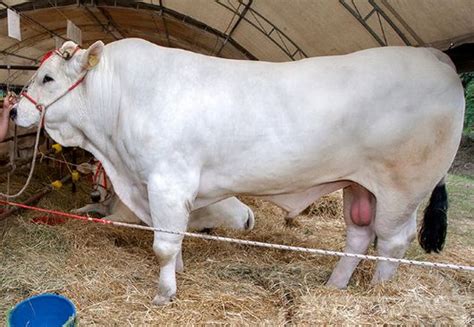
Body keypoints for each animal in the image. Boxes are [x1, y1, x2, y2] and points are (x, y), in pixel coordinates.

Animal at [12, 39, 464, 306]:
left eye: (47, 77)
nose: (15, 110)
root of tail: (436, 56)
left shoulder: (167, 181)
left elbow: (163, 244)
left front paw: (164, 294)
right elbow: (174, 240)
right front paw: (177, 274)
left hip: (401, 188)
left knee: (392, 241)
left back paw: (379, 295)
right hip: (358, 186)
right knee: (358, 235)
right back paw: (335, 286)